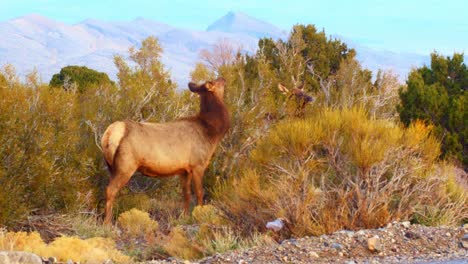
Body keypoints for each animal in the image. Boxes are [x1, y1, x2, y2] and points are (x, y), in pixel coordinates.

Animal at [101, 77, 230, 224]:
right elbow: (199, 193)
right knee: (110, 190)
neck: (211, 133)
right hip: (126, 165)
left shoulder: (184, 170)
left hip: (112, 167)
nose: (223, 78)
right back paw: (107, 223)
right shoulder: (198, 164)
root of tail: (110, 133)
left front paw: (184, 216)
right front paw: (199, 215)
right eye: (215, 82)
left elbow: (186, 194)